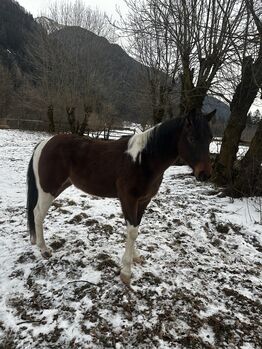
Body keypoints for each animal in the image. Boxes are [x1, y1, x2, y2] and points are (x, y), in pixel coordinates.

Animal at [26, 109, 215, 282]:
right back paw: (44, 249)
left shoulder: (143, 201)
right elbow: (132, 231)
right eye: (192, 138)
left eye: (210, 139)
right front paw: (126, 271)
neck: (143, 160)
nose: (205, 174)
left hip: (59, 187)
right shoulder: (128, 200)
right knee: (38, 214)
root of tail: (45, 143)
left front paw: (136, 257)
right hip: (48, 189)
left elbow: (136, 228)